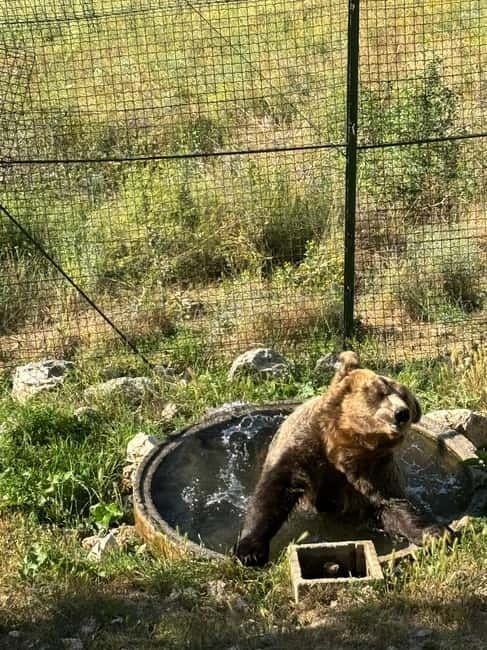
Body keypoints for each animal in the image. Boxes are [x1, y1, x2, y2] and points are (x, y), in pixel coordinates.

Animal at [235, 351, 448, 566]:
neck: (345, 443)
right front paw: (250, 550)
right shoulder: (305, 448)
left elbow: (392, 503)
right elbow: (274, 491)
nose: (402, 413)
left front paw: (434, 533)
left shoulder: (373, 468)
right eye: (381, 392)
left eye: (406, 397)